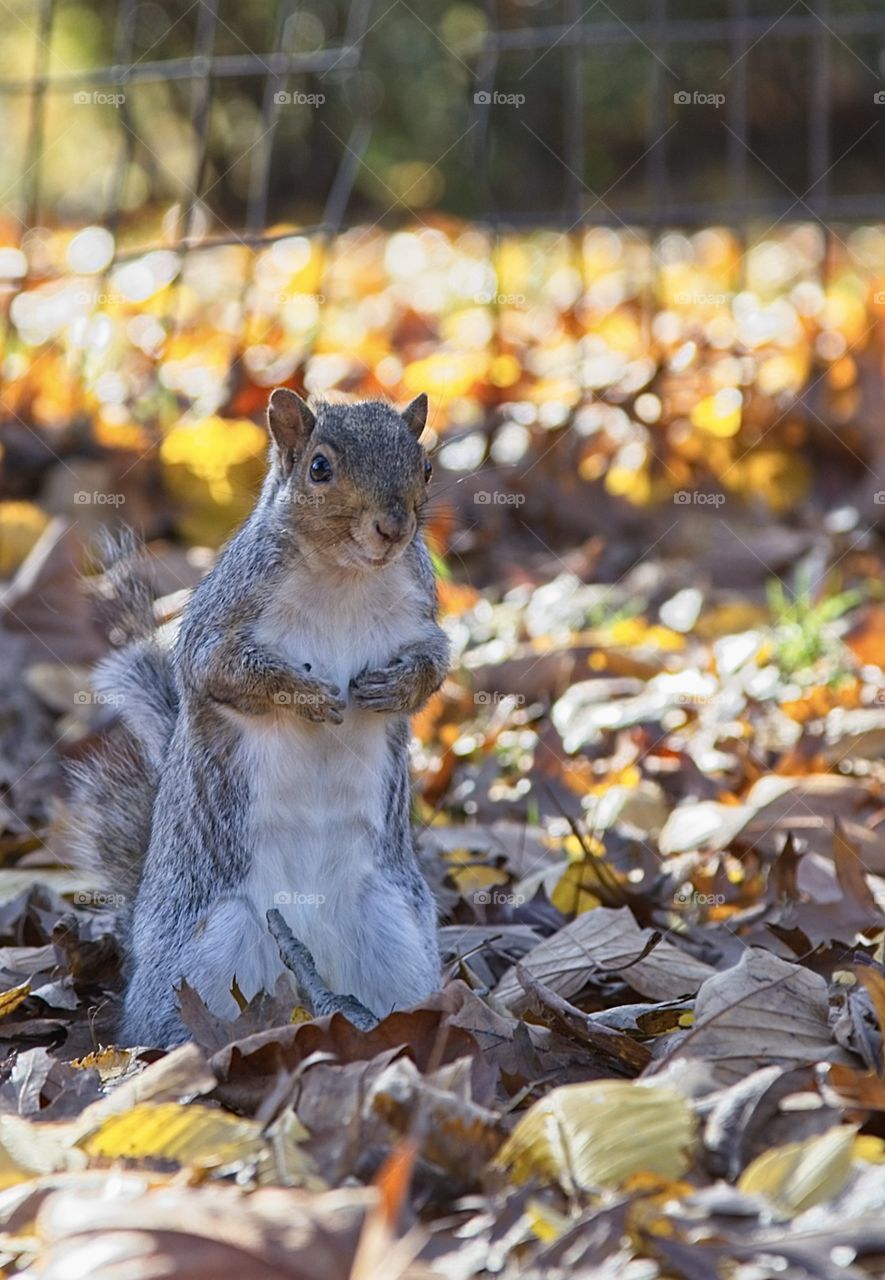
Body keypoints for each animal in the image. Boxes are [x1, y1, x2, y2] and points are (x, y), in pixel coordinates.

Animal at [70, 390, 450, 1046]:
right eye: (319, 468)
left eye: (424, 467)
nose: (394, 528)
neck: (344, 576)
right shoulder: (223, 618)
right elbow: (220, 670)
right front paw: (307, 695)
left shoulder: (421, 615)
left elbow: (435, 666)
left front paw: (394, 687)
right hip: (206, 952)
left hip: (394, 930)